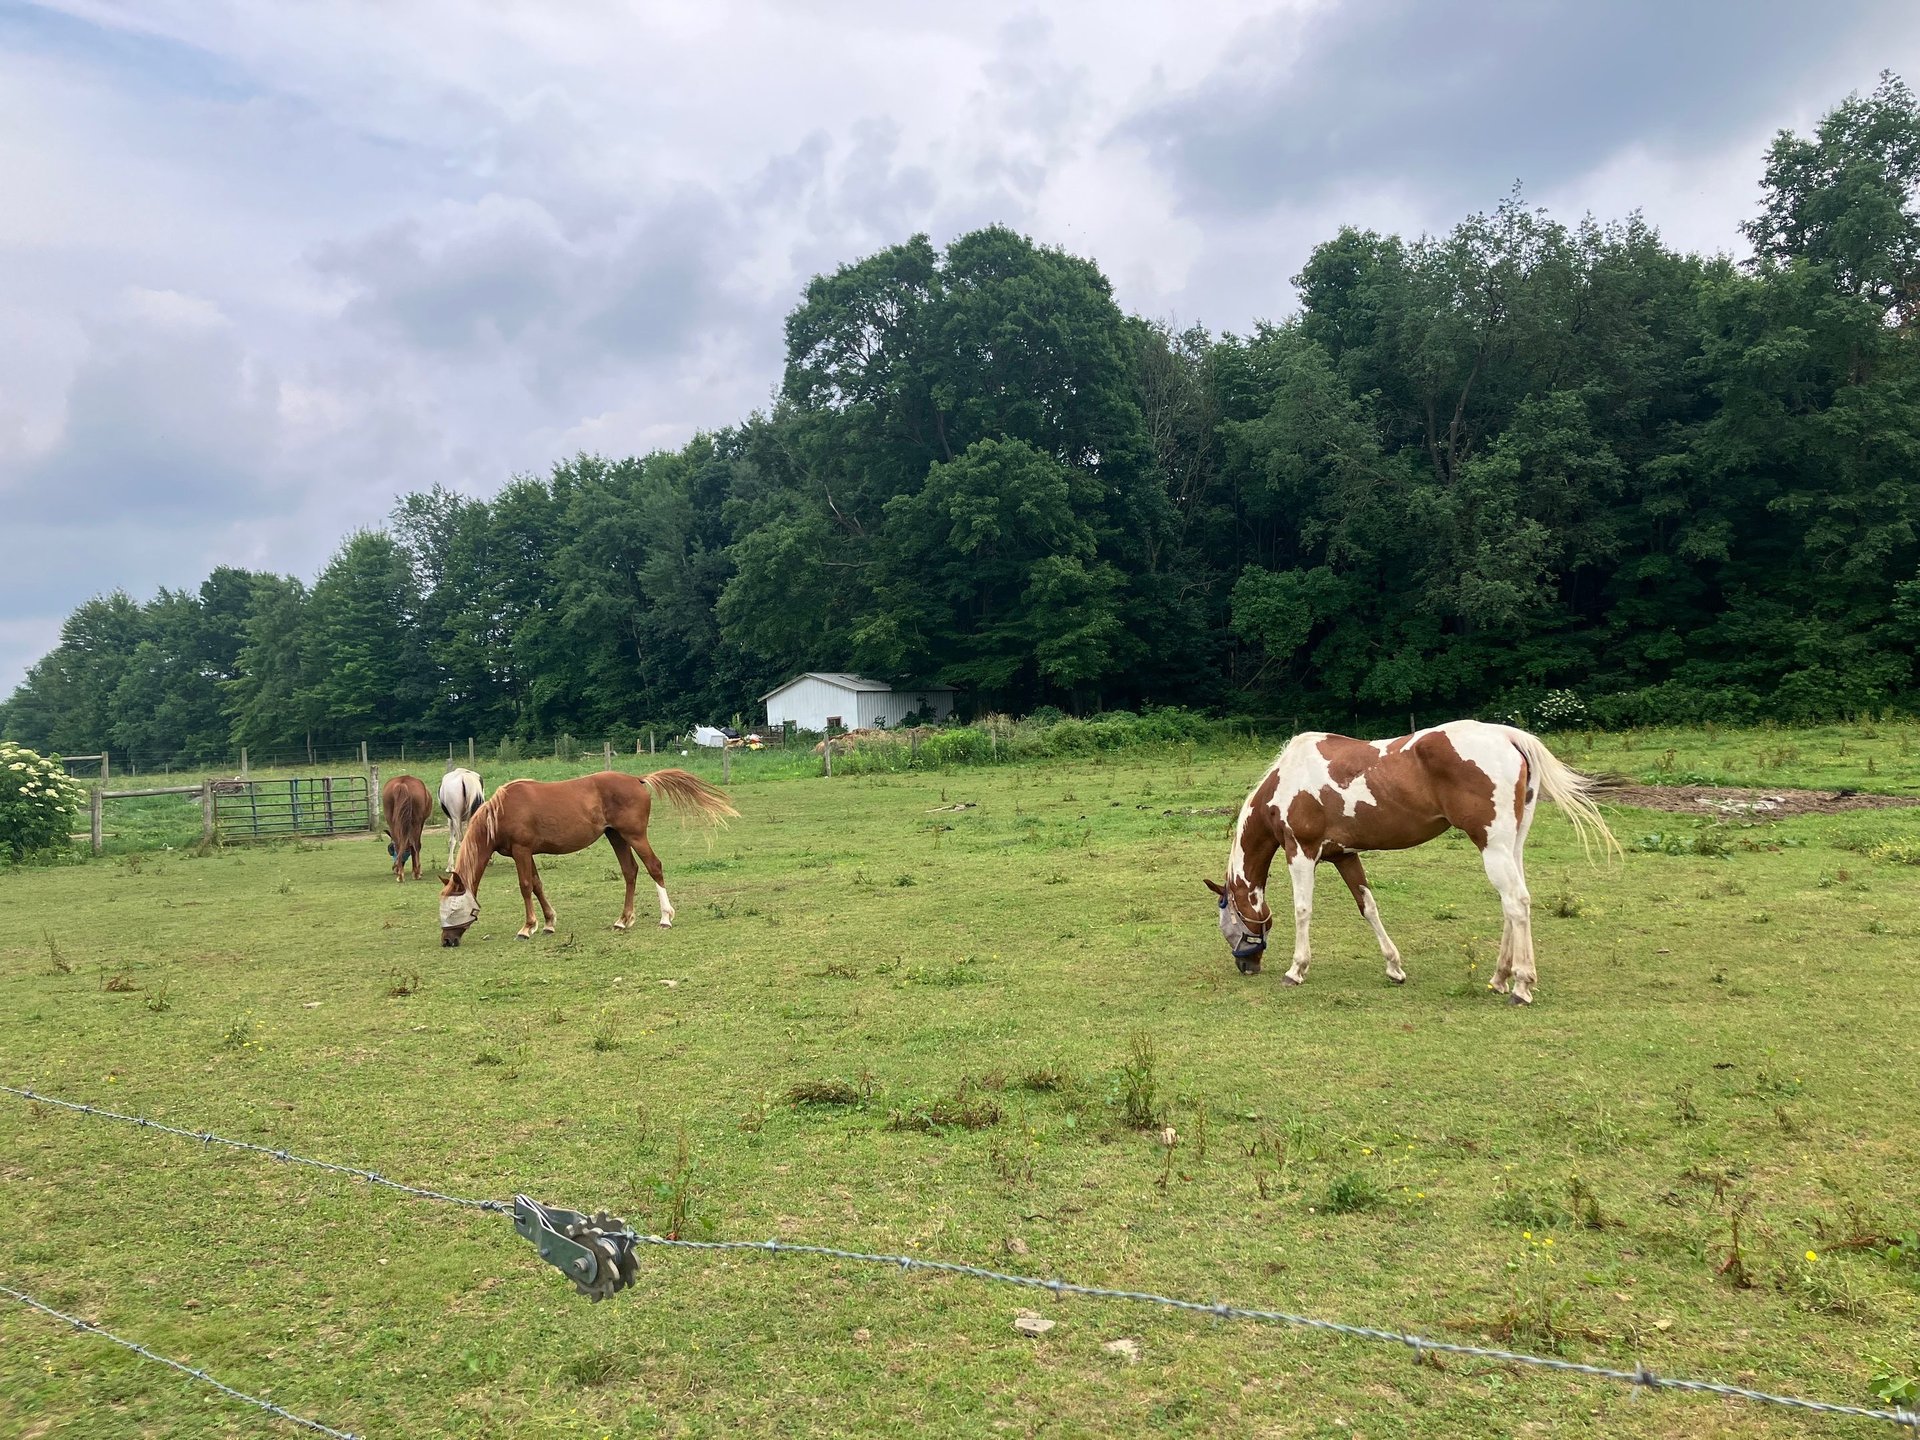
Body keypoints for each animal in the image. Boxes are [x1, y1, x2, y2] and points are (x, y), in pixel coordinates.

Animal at [437, 769, 738, 946]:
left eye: (453, 910)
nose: (447, 940)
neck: (501, 812)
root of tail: (636, 779)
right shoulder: (528, 853)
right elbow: (537, 885)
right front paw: (549, 923)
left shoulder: (521, 851)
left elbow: (525, 886)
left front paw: (527, 927)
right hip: (616, 836)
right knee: (630, 871)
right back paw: (623, 920)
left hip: (634, 835)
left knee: (654, 867)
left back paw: (665, 918)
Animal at [1208, 720, 1618, 1004]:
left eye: (1228, 922)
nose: (1246, 966)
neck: (1288, 779)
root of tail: (1508, 736)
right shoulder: (1344, 855)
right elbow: (1368, 907)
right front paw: (1394, 966)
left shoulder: (1301, 852)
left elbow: (1303, 910)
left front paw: (1296, 970)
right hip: (1510, 847)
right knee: (1513, 904)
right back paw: (1500, 978)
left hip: (1494, 846)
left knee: (1516, 903)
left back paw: (1521, 985)